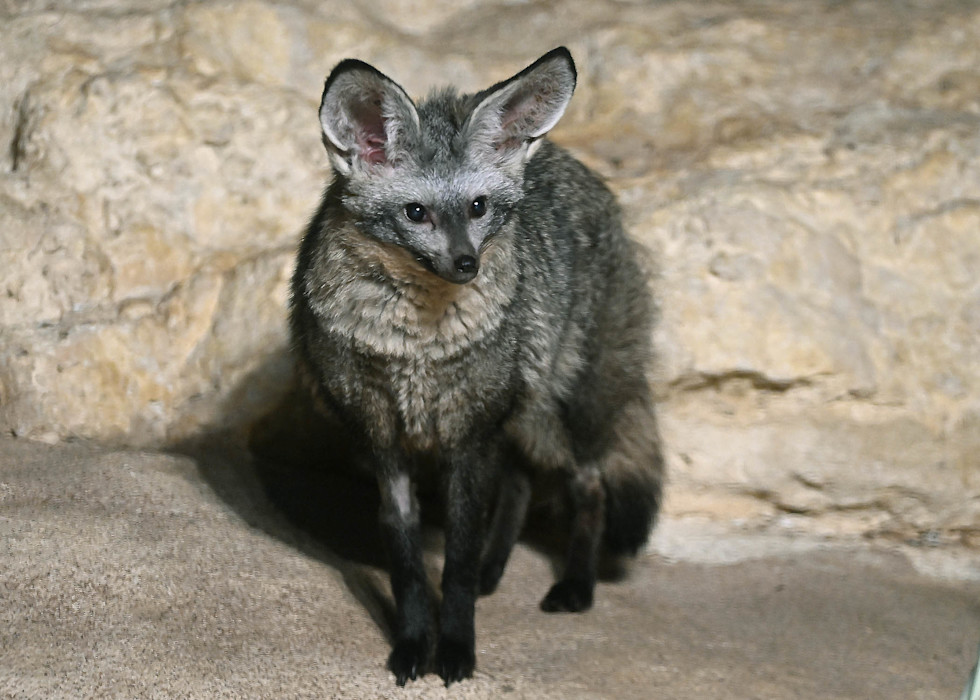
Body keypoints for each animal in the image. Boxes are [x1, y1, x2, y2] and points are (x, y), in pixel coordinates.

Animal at [289, 47, 664, 686]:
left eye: (478, 207)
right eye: (416, 213)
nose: (467, 264)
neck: (414, 347)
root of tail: (572, 164)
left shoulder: (469, 435)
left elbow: (456, 562)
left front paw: (457, 646)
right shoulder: (383, 439)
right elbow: (408, 562)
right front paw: (414, 643)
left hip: (551, 414)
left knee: (588, 486)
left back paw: (576, 585)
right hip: (518, 419)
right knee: (519, 484)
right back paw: (498, 570)